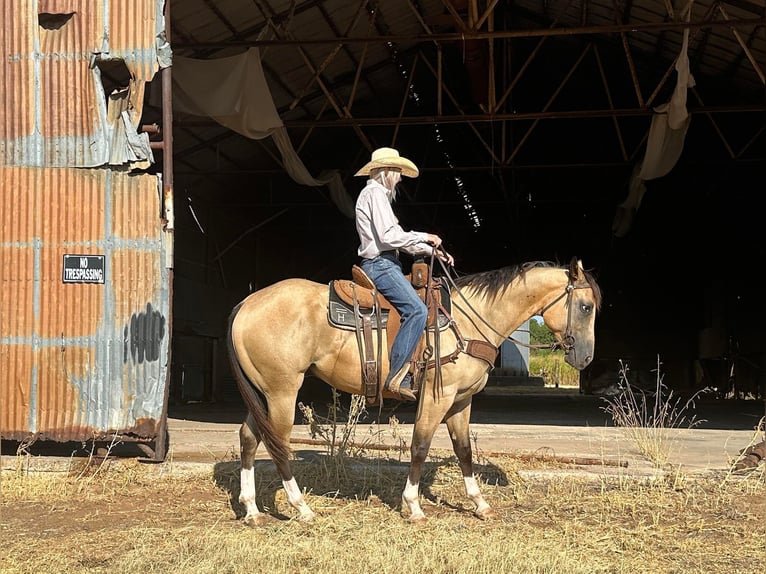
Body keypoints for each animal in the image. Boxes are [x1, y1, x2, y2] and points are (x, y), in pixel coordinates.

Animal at [225, 256, 604, 528]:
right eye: (585, 307)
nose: (585, 358)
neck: (469, 321)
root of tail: (246, 303)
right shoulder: (438, 397)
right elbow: (420, 446)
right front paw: (414, 506)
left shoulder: (461, 401)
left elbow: (464, 450)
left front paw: (480, 503)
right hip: (282, 392)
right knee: (278, 445)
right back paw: (301, 508)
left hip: (264, 394)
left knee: (249, 438)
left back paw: (252, 510)